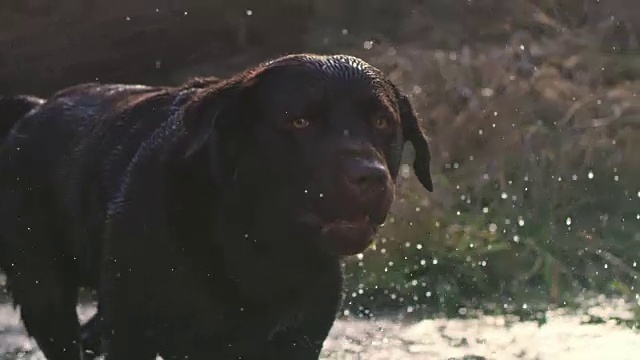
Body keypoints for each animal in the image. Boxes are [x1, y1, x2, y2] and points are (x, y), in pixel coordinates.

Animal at [0, 54, 432, 360]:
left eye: (382, 121)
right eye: (300, 121)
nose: (370, 177)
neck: (255, 247)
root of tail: (34, 107)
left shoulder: (301, 337)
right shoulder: (132, 332)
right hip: (44, 293)